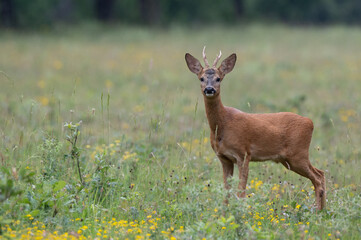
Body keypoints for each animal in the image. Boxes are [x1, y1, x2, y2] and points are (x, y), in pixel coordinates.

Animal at [184, 47, 324, 210]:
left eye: (219, 78)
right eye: (201, 78)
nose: (209, 89)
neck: (222, 125)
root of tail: (310, 122)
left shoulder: (243, 153)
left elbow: (241, 192)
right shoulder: (224, 158)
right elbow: (226, 193)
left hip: (297, 154)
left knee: (318, 178)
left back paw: (318, 211)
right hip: (289, 159)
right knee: (320, 174)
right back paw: (322, 211)